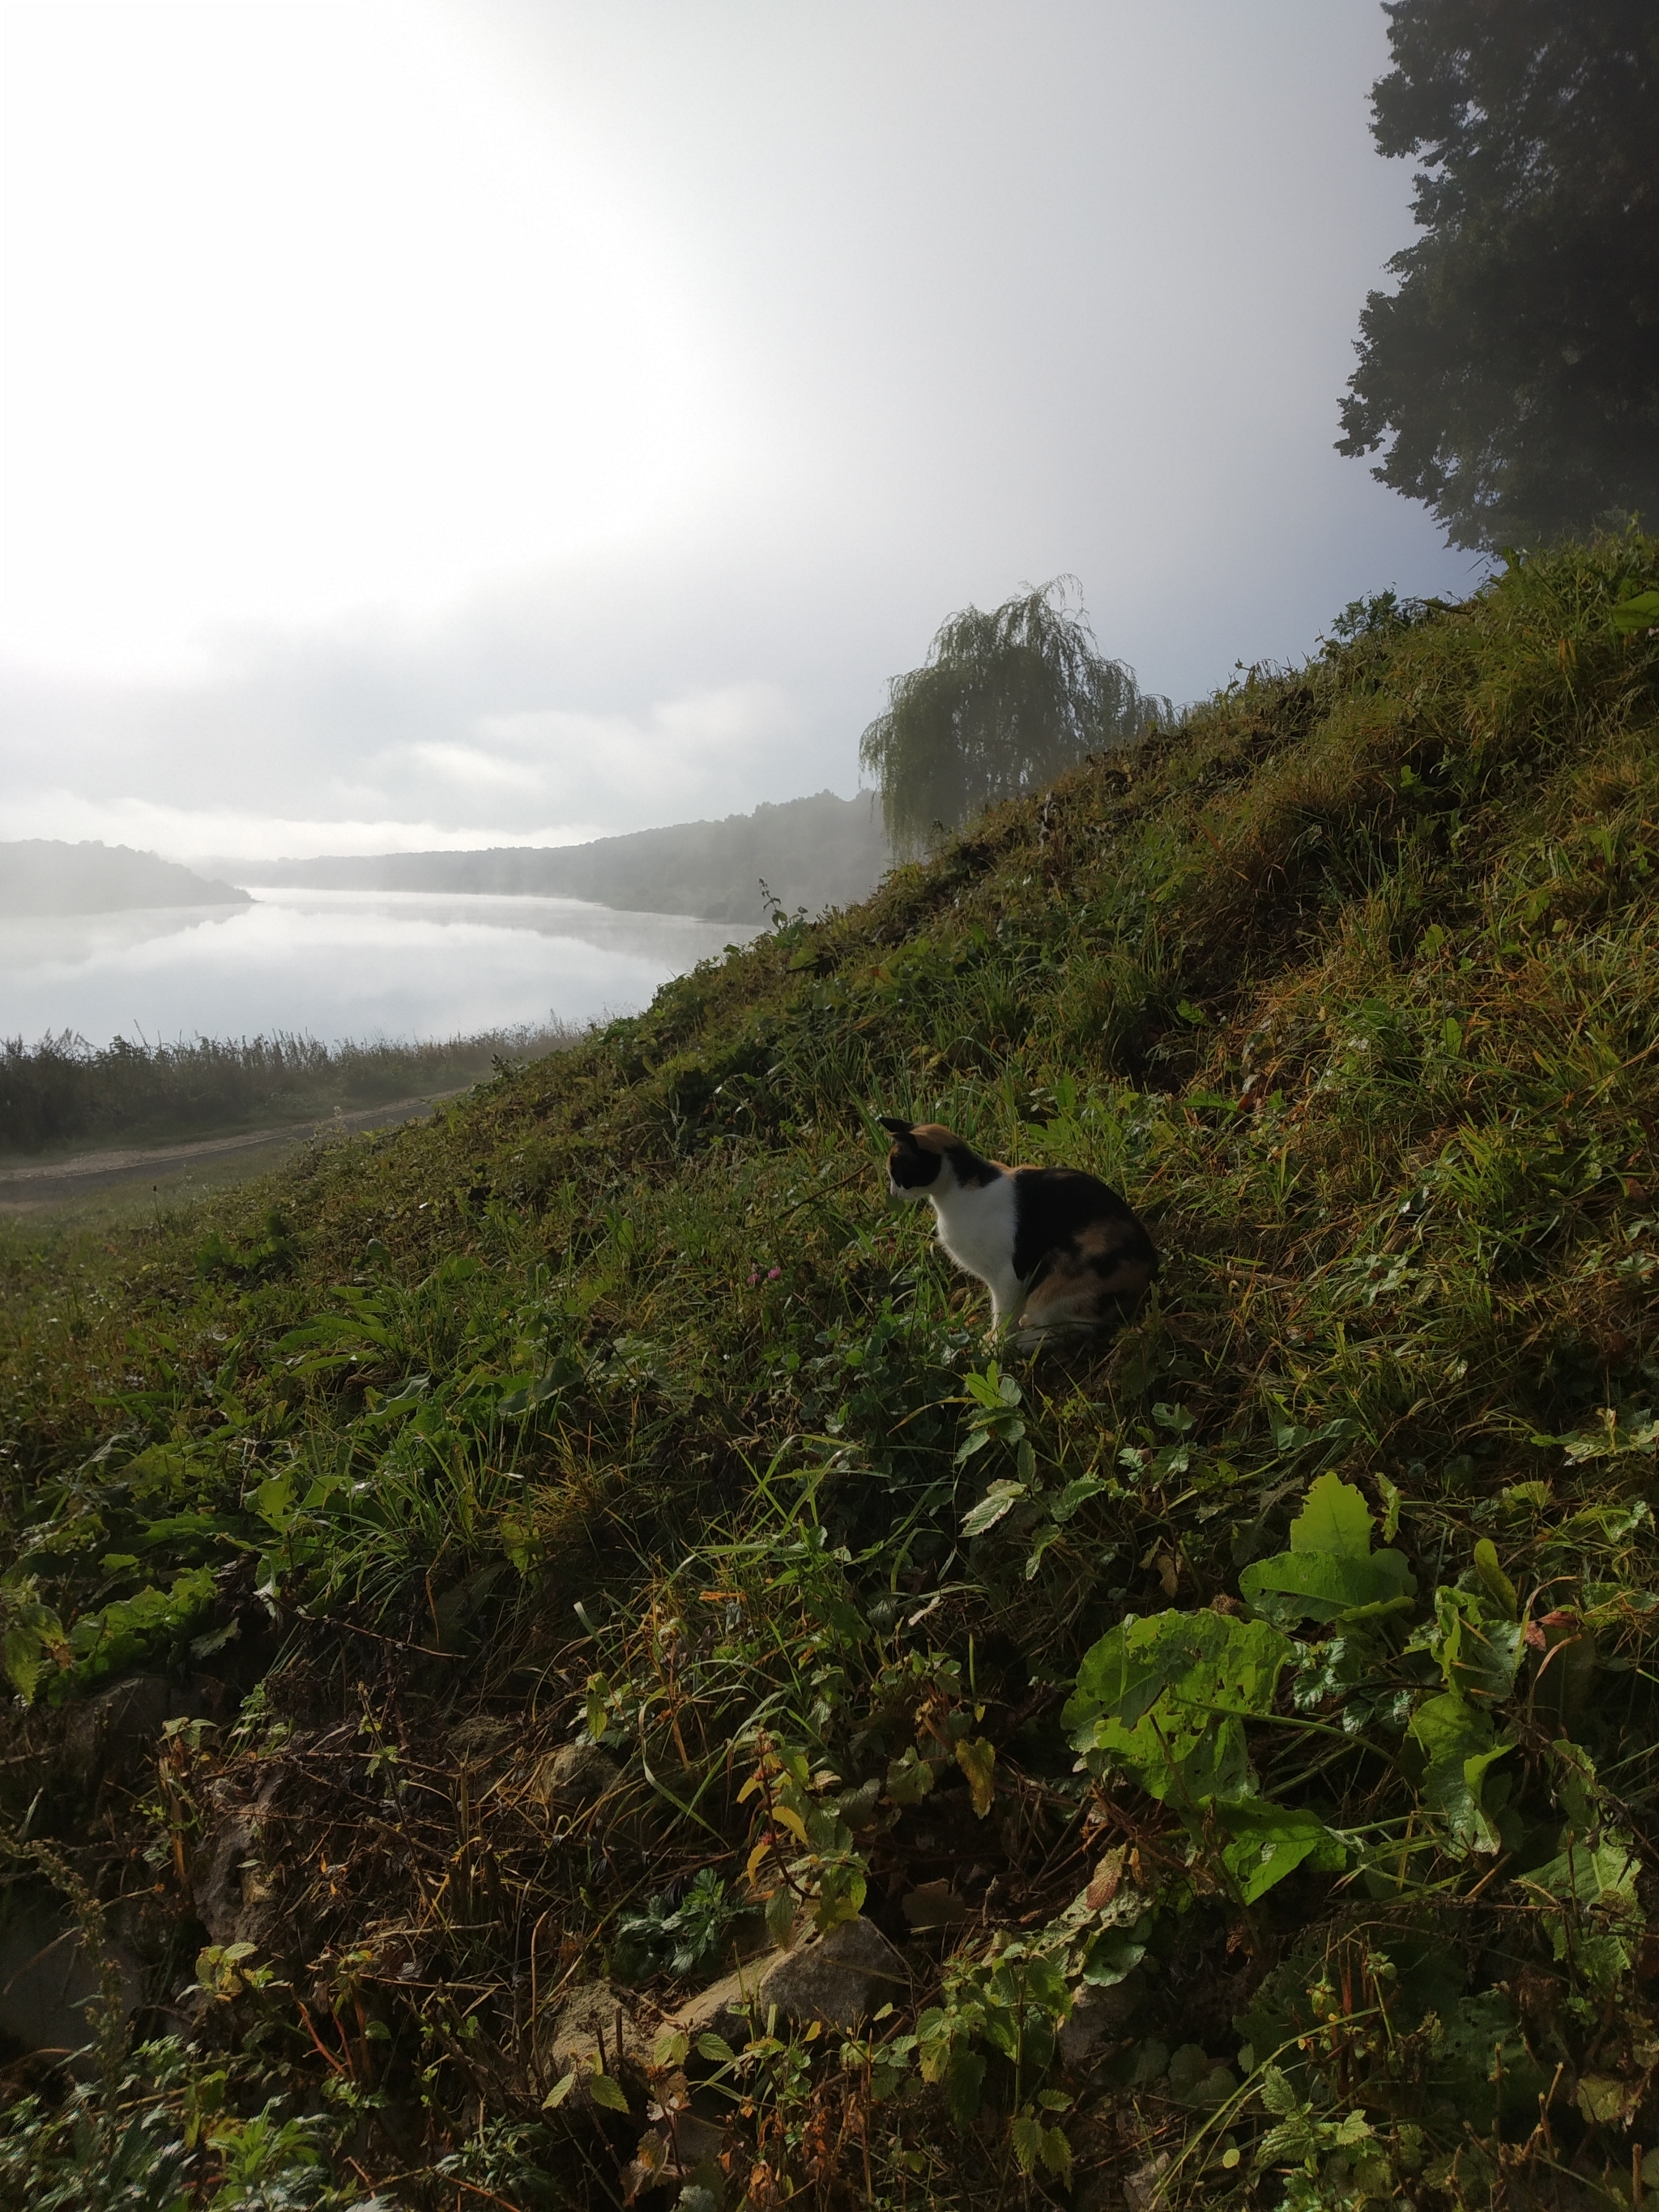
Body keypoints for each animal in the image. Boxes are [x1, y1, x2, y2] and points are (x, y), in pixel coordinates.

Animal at [876, 1115, 1158, 1336]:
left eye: (898, 1174)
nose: (892, 1192)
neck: (956, 1194)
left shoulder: (1008, 1275)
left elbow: (1003, 1313)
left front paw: (995, 1346)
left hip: (1062, 1280)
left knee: (1073, 1327)